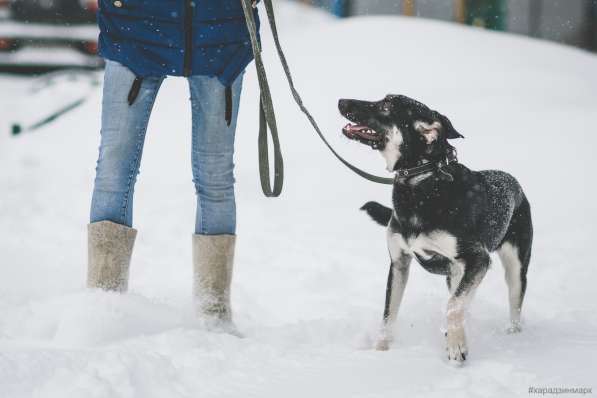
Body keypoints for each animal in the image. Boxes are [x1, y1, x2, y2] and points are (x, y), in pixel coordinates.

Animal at [338, 95, 532, 362]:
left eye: (386, 106)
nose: (341, 102)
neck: (422, 183)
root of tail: (515, 184)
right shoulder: (399, 263)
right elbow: (388, 316)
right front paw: (380, 353)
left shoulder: (478, 258)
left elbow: (452, 306)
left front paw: (457, 345)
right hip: (459, 272)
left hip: (515, 267)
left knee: (512, 305)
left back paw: (511, 336)